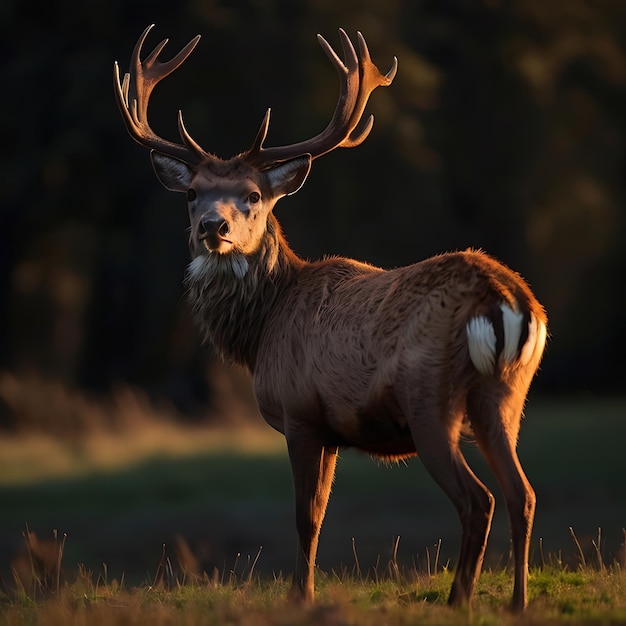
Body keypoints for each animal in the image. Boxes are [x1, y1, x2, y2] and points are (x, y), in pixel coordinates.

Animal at [113, 24, 544, 608]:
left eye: (253, 195)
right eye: (192, 193)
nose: (212, 227)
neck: (262, 330)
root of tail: (506, 298)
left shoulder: (300, 414)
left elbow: (306, 517)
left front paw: (302, 597)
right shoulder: (332, 429)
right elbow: (319, 512)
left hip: (430, 399)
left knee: (480, 500)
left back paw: (460, 601)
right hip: (506, 394)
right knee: (522, 494)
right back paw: (518, 603)